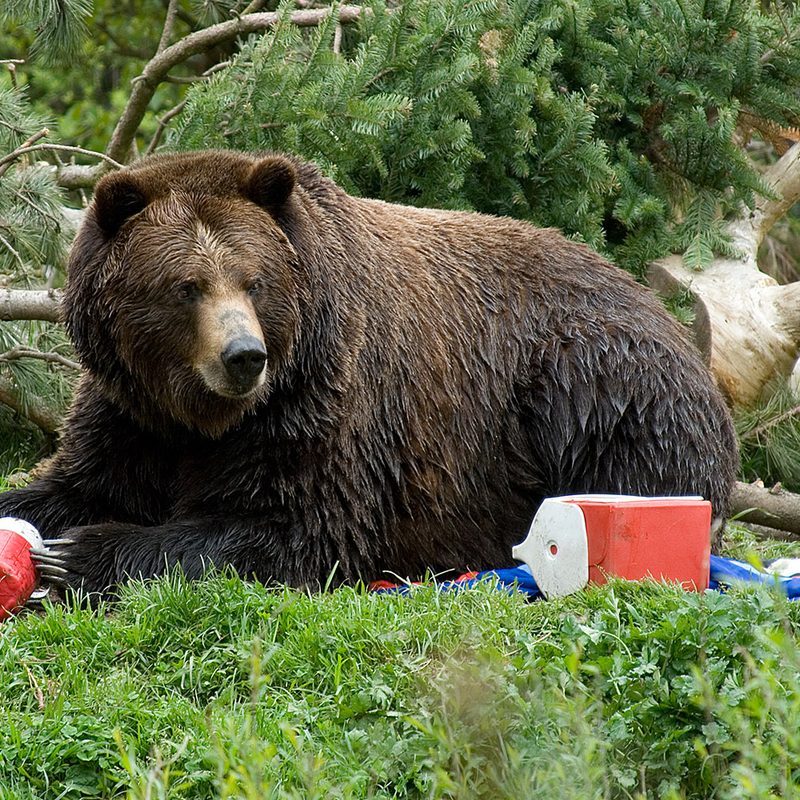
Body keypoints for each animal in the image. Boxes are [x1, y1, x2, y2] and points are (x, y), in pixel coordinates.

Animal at [0, 150, 738, 597]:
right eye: (186, 286)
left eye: (254, 280)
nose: (244, 356)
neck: (204, 418)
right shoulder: (130, 412)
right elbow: (78, 480)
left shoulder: (321, 404)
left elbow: (292, 529)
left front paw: (79, 553)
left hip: (594, 388)